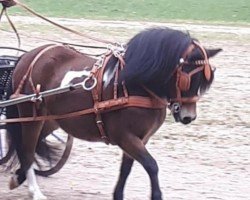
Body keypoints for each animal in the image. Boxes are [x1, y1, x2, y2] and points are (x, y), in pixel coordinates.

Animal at [5, 27, 221, 200]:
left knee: (29, 147)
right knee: (27, 150)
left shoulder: (140, 138)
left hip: (50, 120)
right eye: (187, 78)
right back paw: (34, 190)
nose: (188, 117)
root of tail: (29, 56)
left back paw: (19, 176)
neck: (135, 84)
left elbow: (126, 169)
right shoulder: (124, 136)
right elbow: (151, 165)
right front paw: (156, 195)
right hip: (30, 116)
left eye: (204, 79)